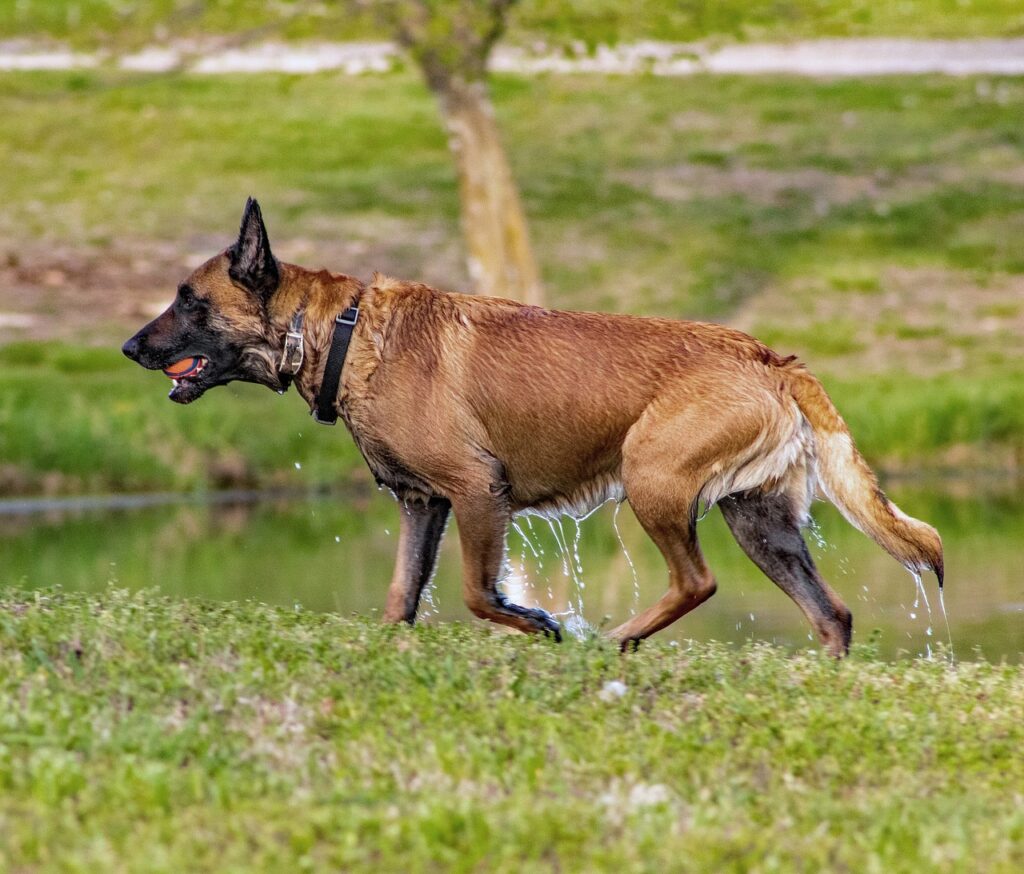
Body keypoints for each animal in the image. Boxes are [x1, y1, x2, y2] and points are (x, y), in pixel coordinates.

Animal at [121, 201, 942, 654]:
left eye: (189, 301)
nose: (129, 348)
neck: (341, 331)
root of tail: (769, 357)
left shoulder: (477, 494)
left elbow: (479, 594)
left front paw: (543, 624)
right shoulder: (424, 506)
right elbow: (399, 600)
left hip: (652, 478)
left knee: (697, 581)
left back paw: (613, 641)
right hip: (759, 521)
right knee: (831, 614)